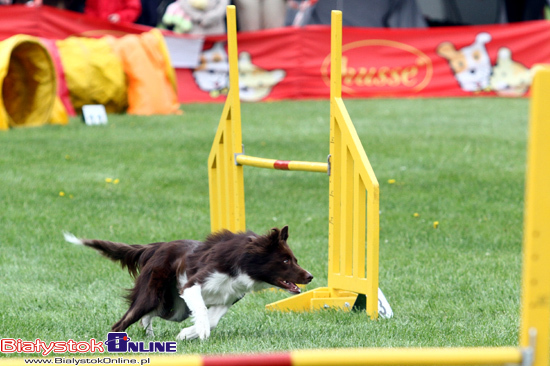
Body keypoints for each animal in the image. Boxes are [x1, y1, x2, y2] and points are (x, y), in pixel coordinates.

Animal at [63, 226, 312, 340]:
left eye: (295, 259)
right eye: (285, 260)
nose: (310, 276)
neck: (242, 262)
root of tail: (157, 246)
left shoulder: (227, 298)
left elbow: (213, 320)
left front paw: (186, 334)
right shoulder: (192, 285)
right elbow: (202, 310)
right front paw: (198, 331)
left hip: (174, 309)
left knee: (148, 316)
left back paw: (150, 334)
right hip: (155, 294)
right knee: (124, 321)